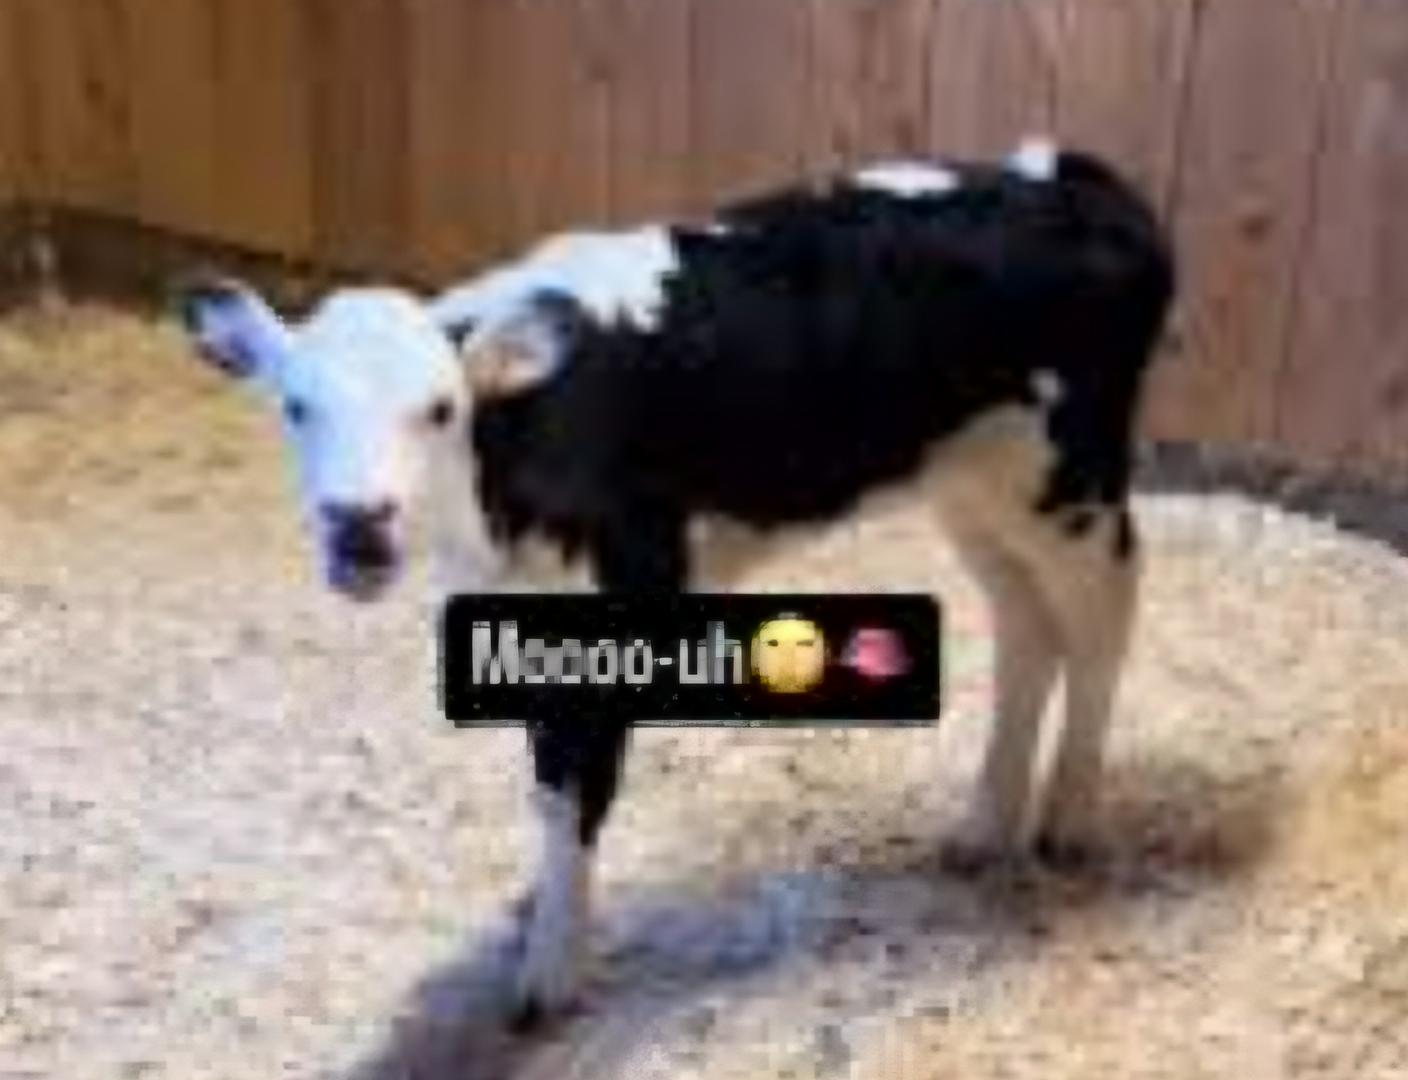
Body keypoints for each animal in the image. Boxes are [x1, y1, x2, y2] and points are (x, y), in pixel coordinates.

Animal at [179, 138, 1176, 1028]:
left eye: (440, 410)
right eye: (295, 406)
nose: (358, 523)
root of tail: (1067, 177)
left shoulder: (629, 585)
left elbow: (579, 785)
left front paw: (554, 966)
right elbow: (547, 783)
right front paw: (543, 909)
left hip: (1072, 478)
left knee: (1105, 617)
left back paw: (1070, 819)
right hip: (977, 483)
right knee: (1025, 625)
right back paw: (985, 827)